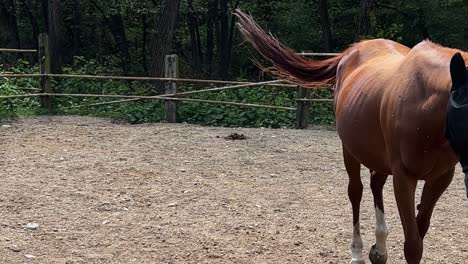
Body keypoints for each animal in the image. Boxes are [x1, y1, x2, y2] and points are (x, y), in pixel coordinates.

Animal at [236, 8, 468, 264]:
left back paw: (379, 249)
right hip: (350, 150)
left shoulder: (441, 178)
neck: (426, 108)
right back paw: (357, 252)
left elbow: (420, 229)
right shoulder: (403, 177)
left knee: (375, 185)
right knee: (356, 191)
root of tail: (353, 50)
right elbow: (413, 245)